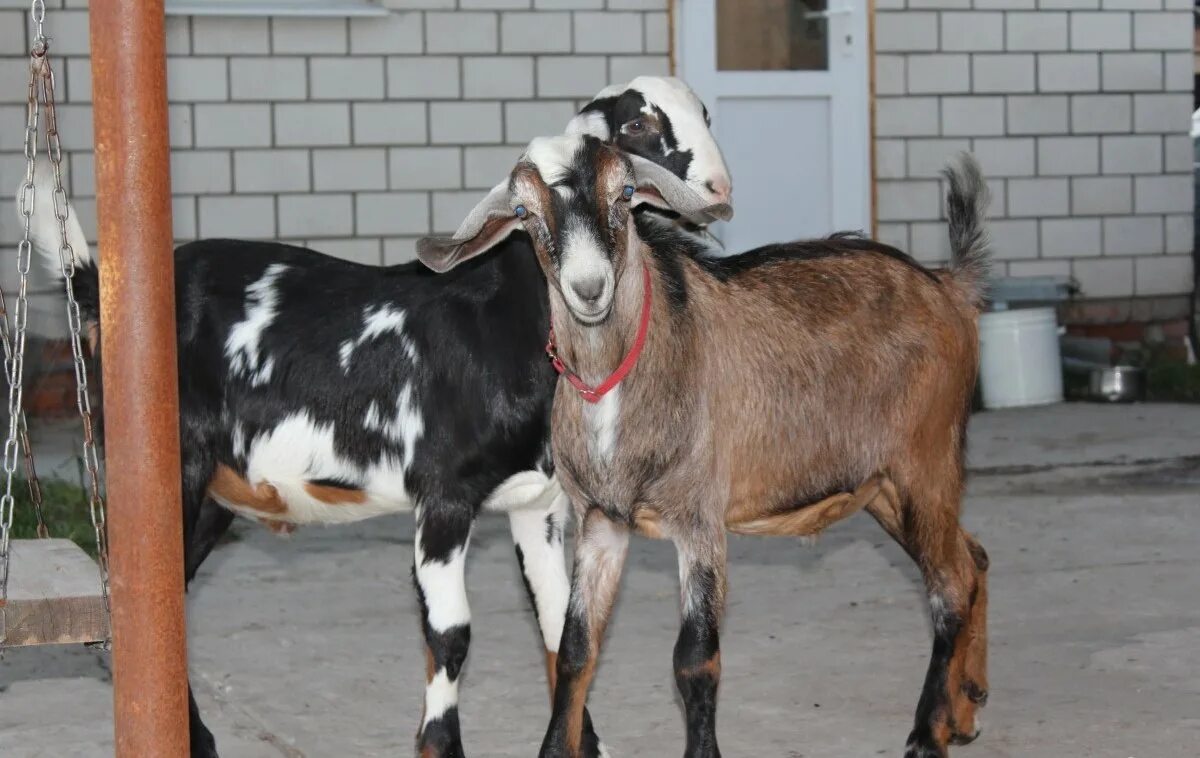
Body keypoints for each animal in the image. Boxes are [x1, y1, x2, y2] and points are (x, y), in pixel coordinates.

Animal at [28, 74, 729, 753]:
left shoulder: (540, 505)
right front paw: (438, 744)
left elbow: (565, 635)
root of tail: (101, 294)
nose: (718, 190)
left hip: (211, 496)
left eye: (626, 190)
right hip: (166, 472)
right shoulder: (442, 496)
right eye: (636, 124)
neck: (503, 318)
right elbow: (451, 635)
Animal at [420, 134, 993, 758]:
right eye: (524, 210)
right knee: (971, 561)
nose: (589, 289)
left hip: (925, 461)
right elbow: (575, 646)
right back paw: (965, 712)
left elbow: (694, 659)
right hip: (887, 487)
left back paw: (927, 735)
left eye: (625, 192)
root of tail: (949, 288)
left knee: (948, 590)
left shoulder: (698, 517)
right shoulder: (600, 519)